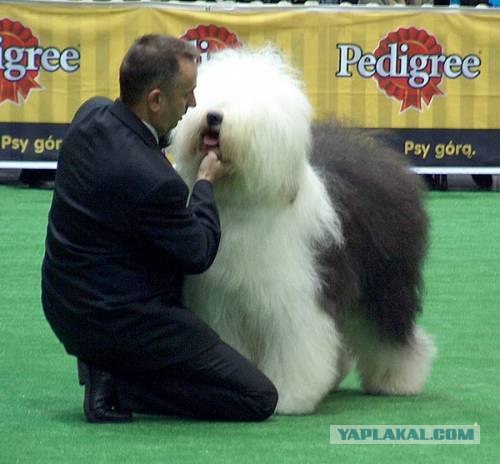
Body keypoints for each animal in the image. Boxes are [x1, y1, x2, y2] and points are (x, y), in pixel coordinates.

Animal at [171, 49, 434, 416]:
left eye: (249, 104)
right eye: (203, 94)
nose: (212, 117)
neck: (240, 203)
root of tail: (379, 155)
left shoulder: (295, 298)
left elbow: (296, 346)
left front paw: (289, 397)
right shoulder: (221, 301)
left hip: (384, 280)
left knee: (389, 330)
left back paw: (397, 380)